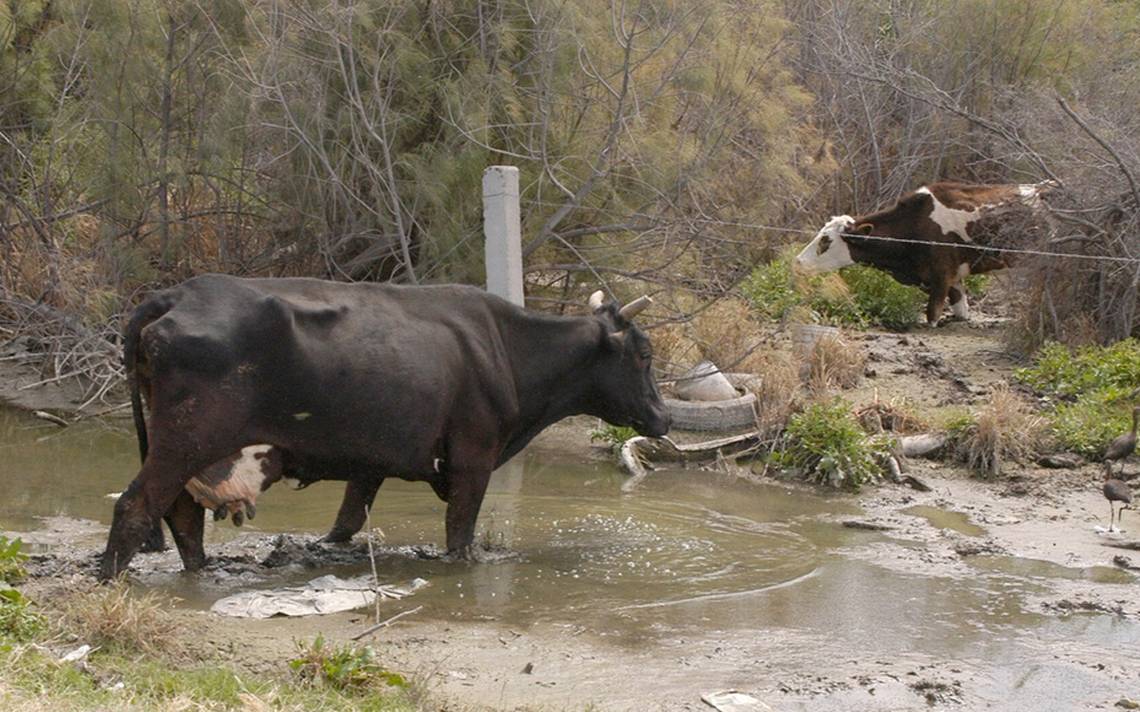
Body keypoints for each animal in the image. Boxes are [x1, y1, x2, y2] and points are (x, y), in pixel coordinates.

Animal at [100, 274, 665, 580]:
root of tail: (179, 294)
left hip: (189, 451)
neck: (506, 348)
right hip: (185, 441)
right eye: (644, 354)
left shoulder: (370, 460)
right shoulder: (474, 456)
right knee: (137, 507)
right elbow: (460, 534)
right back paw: (109, 580)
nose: (663, 416)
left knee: (182, 516)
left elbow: (347, 522)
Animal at [793, 178, 1048, 323]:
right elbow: (961, 310)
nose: (798, 262)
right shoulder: (953, 280)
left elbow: (932, 316)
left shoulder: (941, 278)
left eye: (825, 241)